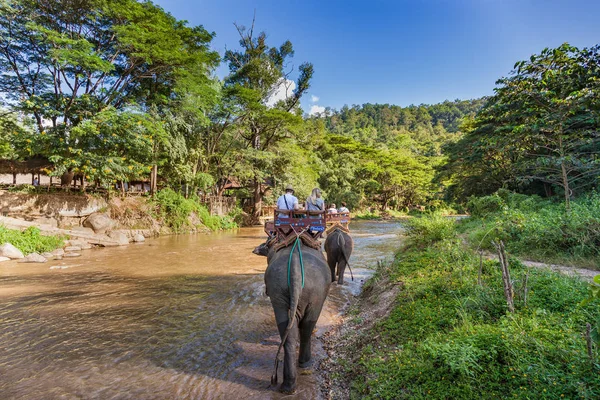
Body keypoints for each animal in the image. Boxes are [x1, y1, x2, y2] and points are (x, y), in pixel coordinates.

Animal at [252, 238, 330, 394]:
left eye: (264, 243)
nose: (254, 249)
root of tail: (295, 267)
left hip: (284, 292)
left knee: (292, 331)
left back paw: (288, 384)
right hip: (311, 294)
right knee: (305, 328)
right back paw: (302, 366)